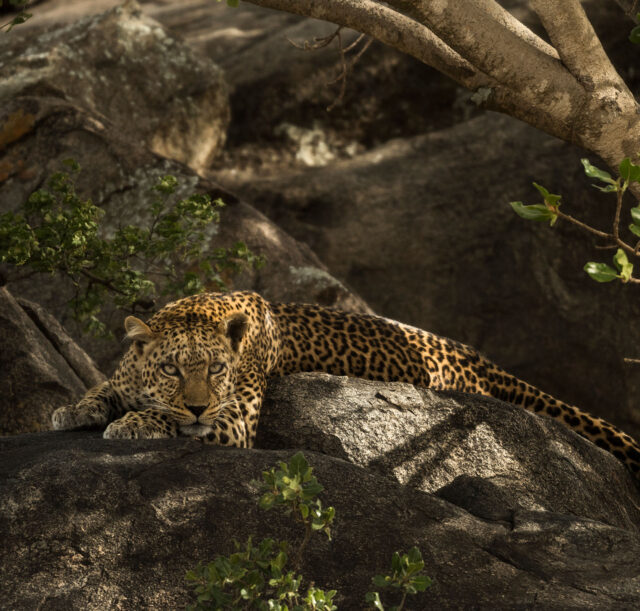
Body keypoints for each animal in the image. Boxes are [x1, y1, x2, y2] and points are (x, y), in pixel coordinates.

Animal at [52, 290, 640, 479]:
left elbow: (169, 419)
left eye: (217, 369)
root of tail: (477, 357)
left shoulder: (233, 418)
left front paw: (134, 424)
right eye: (172, 369)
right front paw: (74, 409)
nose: (197, 406)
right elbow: (104, 389)